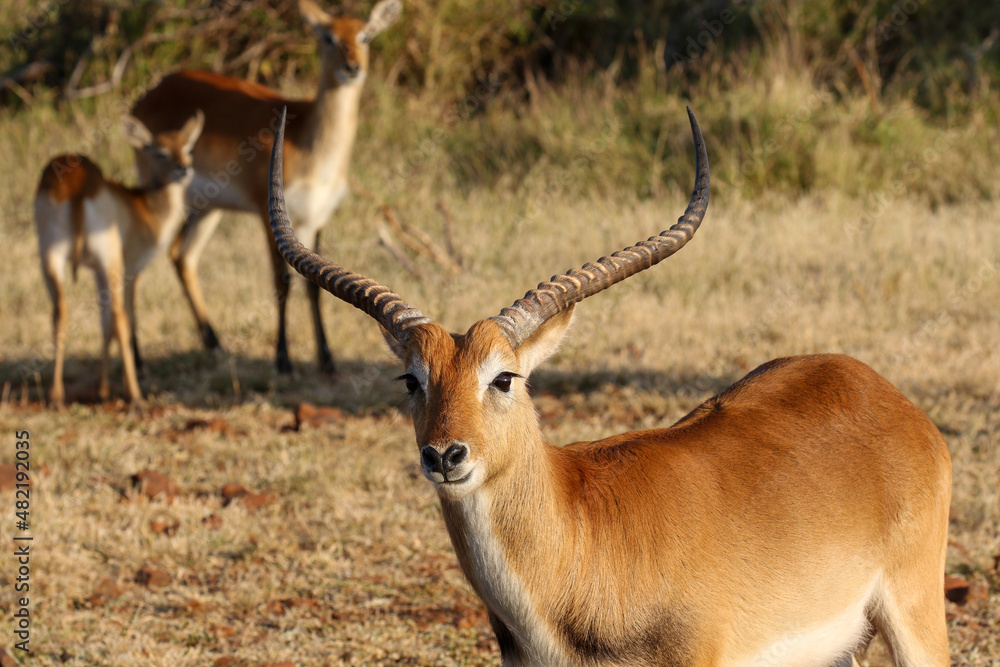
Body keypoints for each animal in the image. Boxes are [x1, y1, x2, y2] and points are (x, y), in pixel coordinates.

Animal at [34, 109, 203, 408]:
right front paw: (116, 386)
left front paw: (102, 389)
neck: (143, 208)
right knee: (119, 317)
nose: (183, 168)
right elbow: (123, 319)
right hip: (109, 260)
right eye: (160, 152)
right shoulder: (130, 270)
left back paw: (56, 396)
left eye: (187, 148)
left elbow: (103, 324)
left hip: (50, 256)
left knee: (60, 312)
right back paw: (134, 395)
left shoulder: (95, 271)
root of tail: (77, 185)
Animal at [131, 0, 404, 376]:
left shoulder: (316, 218)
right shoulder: (266, 210)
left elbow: (315, 286)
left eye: (364, 35)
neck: (309, 145)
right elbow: (282, 282)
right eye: (328, 37)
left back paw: (215, 344)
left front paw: (327, 360)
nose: (352, 67)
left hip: (206, 209)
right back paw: (140, 361)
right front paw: (283, 360)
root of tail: (149, 94)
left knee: (182, 256)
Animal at [268, 109, 952, 667]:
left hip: (914, 613)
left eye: (504, 377)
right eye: (412, 378)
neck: (580, 543)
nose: (445, 455)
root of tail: (877, 388)